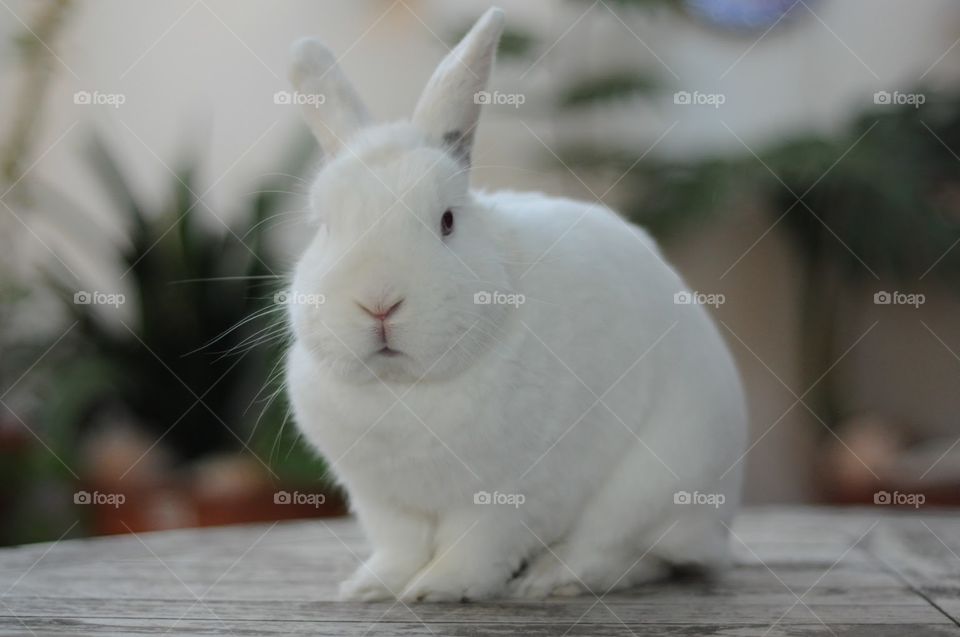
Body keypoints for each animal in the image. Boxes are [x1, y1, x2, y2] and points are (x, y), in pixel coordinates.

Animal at [283, 7, 747, 602]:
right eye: (324, 227)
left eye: (447, 221)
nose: (379, 302)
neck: (405, 391)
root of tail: (719, 523)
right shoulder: (383, 502)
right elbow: (398, 548)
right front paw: (373, 586)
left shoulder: (509, 494)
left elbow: (475, 548)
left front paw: (440, 588)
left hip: (655, 489)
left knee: (630, 554)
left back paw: (554, 578)